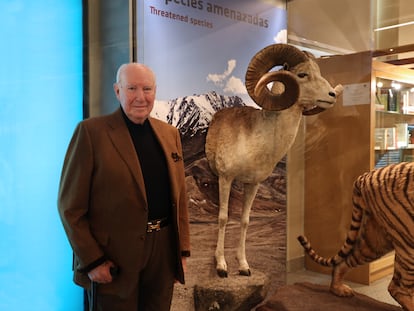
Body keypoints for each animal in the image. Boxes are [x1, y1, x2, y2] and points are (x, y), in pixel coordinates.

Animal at [204, 43, 342, 278]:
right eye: (302, 74)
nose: (332, 94)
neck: (253, 141)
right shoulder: (225, 179)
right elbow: (223, 218)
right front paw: (221, 266)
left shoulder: (253, 184)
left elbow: (244, 220)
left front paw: (243, 266)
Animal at [298, 162, 414, 310]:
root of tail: (365, 176)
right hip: (407, 236)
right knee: (398, 288)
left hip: (377, 241)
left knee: (344, 262)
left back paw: (338, 289)